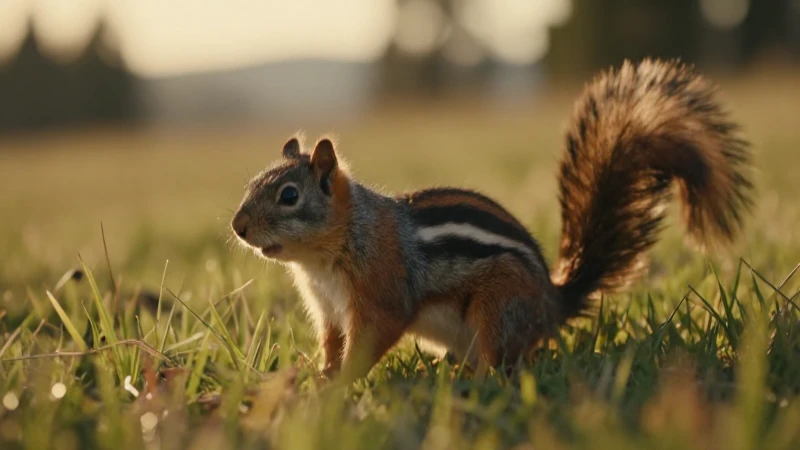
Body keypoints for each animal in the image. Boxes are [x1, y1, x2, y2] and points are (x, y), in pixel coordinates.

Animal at [231, 59, 754, 381]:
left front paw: (342, 386)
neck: (323, 258)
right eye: (252, 182)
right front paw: (319, 377)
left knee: (503, 360)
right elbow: (332, 344)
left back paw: (476, 382)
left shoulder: (380, 291)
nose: (238, 227)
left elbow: (373, 336)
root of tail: (552, 304)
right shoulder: (329, 311)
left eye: (289, 195)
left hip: (497, 308)